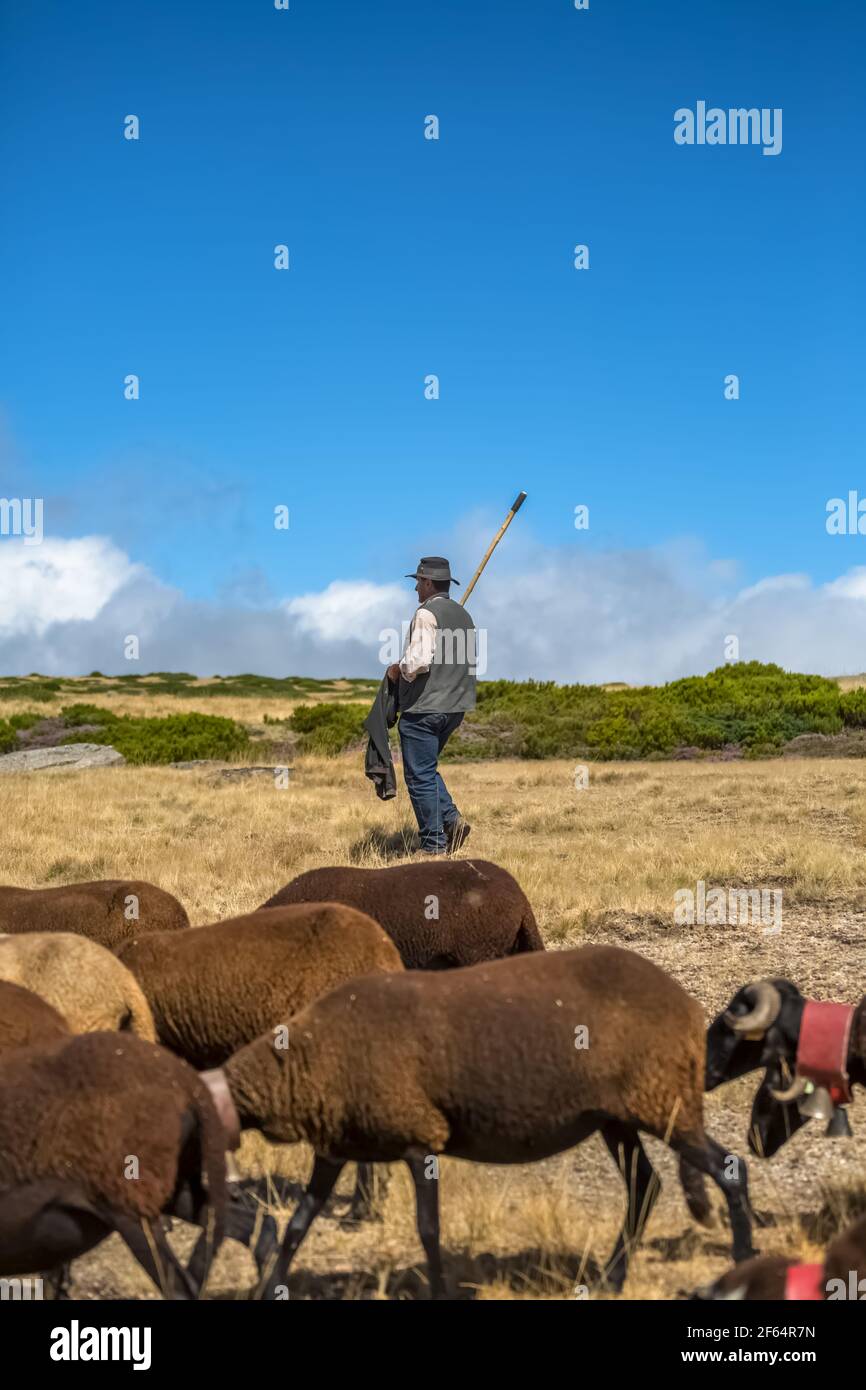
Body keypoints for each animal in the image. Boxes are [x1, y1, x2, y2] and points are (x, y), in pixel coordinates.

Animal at [208, 939, 750, 1295]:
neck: (300, 1062)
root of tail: (686, 1005)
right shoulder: (335, 1147)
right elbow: (298, 1224)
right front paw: (269, 1287)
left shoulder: (419, 1137)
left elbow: (428, 1230)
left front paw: (439, 1290)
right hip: (616, 1115)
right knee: (645, 1186)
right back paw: (611, 1280)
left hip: (661, 1100)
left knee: (730, 1171)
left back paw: (742, 1258)